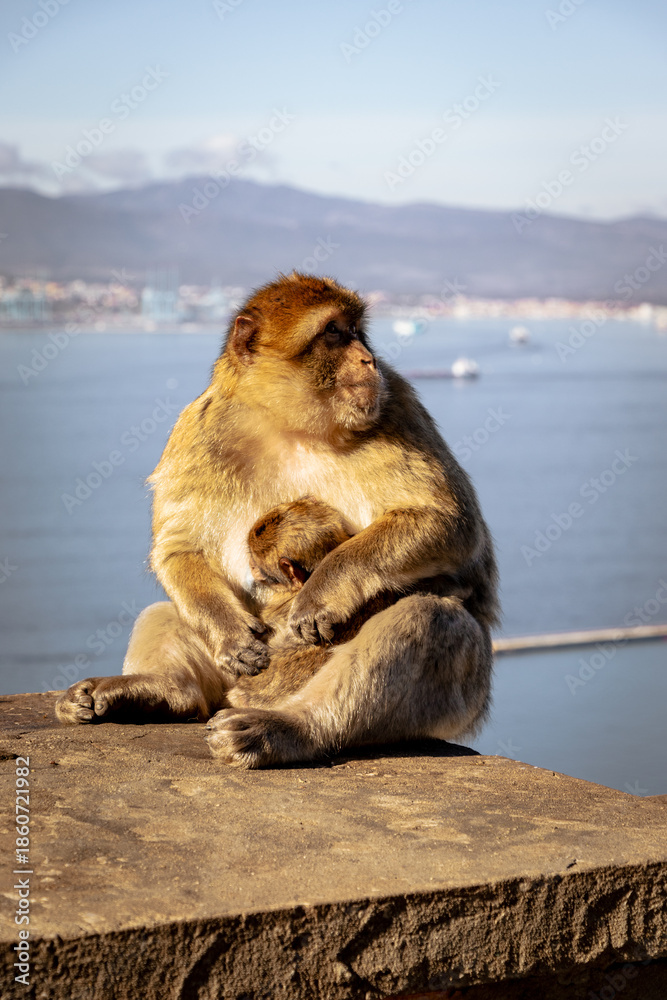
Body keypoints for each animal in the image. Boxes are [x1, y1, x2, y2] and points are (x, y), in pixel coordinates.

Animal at [56, 271, 499, 769]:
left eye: (357, 332)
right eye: (333, 332)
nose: (369, 360)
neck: (291, 425)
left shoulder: (395, 404)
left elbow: (447, 520)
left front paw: (323, 592)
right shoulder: (199, 428)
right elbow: (180, 546)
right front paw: (230, 634)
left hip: (462, 697)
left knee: (431, 618)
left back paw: (289, 728)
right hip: (230, 681)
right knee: (171, 612)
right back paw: (160, 692)